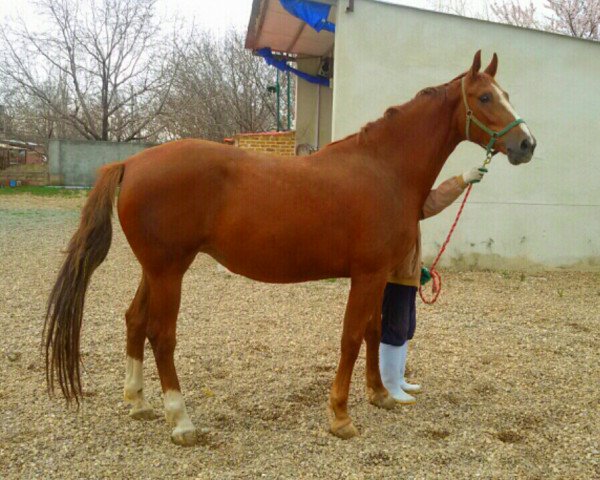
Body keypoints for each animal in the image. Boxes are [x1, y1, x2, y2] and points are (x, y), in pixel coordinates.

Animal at [44, 52, 536, 446]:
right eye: (485, 98)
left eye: (508, 93)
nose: (527, 144)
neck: (384, 169)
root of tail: (130, 162)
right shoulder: (367, 274)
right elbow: (352, 337)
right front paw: (341, 417)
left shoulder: (378, 275)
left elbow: (374, 330)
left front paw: (379, 395)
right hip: (169, 272)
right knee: (161, 336)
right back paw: (181, 422)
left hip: (156, 269)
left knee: (134, 320)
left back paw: (139, 403)